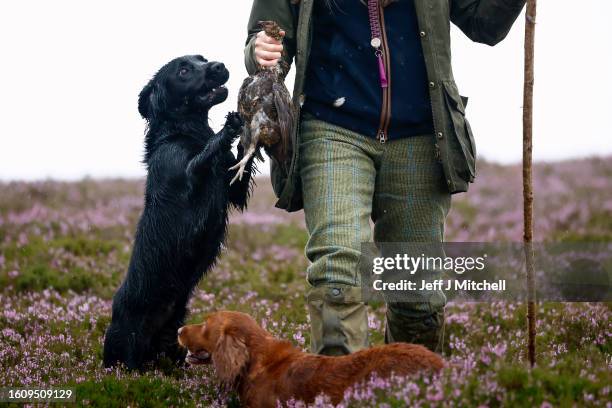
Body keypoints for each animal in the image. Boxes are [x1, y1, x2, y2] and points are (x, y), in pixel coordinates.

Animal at [103, 55, 253, 370]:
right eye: (183, 70)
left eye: (202, 59)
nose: (219, 66)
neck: (184, 131)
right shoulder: (183, 174)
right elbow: (205, 154)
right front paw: (229, 126)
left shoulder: (233, 189)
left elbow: (241, 167)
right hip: (128, 341)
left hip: (174, 333)